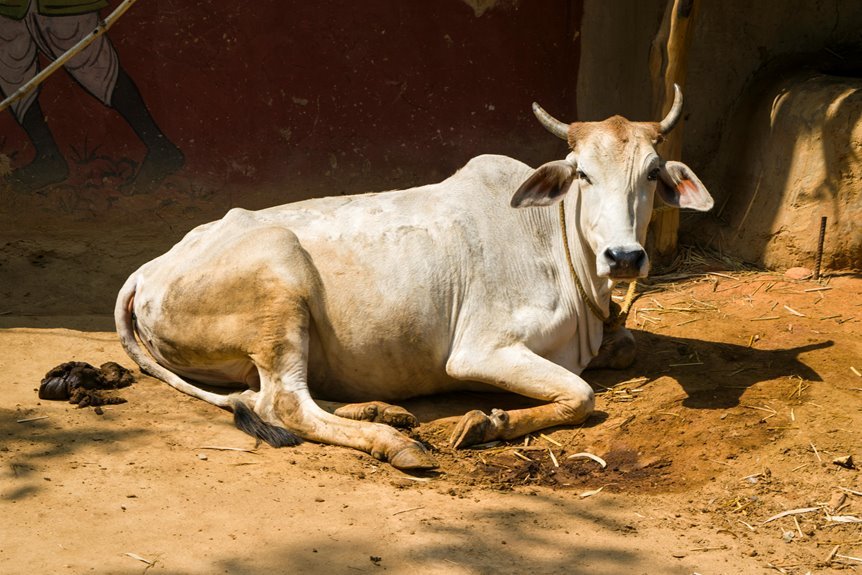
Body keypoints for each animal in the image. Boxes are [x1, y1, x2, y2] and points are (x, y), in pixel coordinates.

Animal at [115, 85, 713, 470]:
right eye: (583, 173)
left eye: (652, 172)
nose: (625, 257)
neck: (555, 241)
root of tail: (150, 268)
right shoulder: (479, 350)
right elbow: (582, 394)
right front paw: (486, 423)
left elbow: (625, 348)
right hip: (280, 277)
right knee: (282, 403)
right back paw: (392, 440)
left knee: (273, 394)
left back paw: (382, 410)